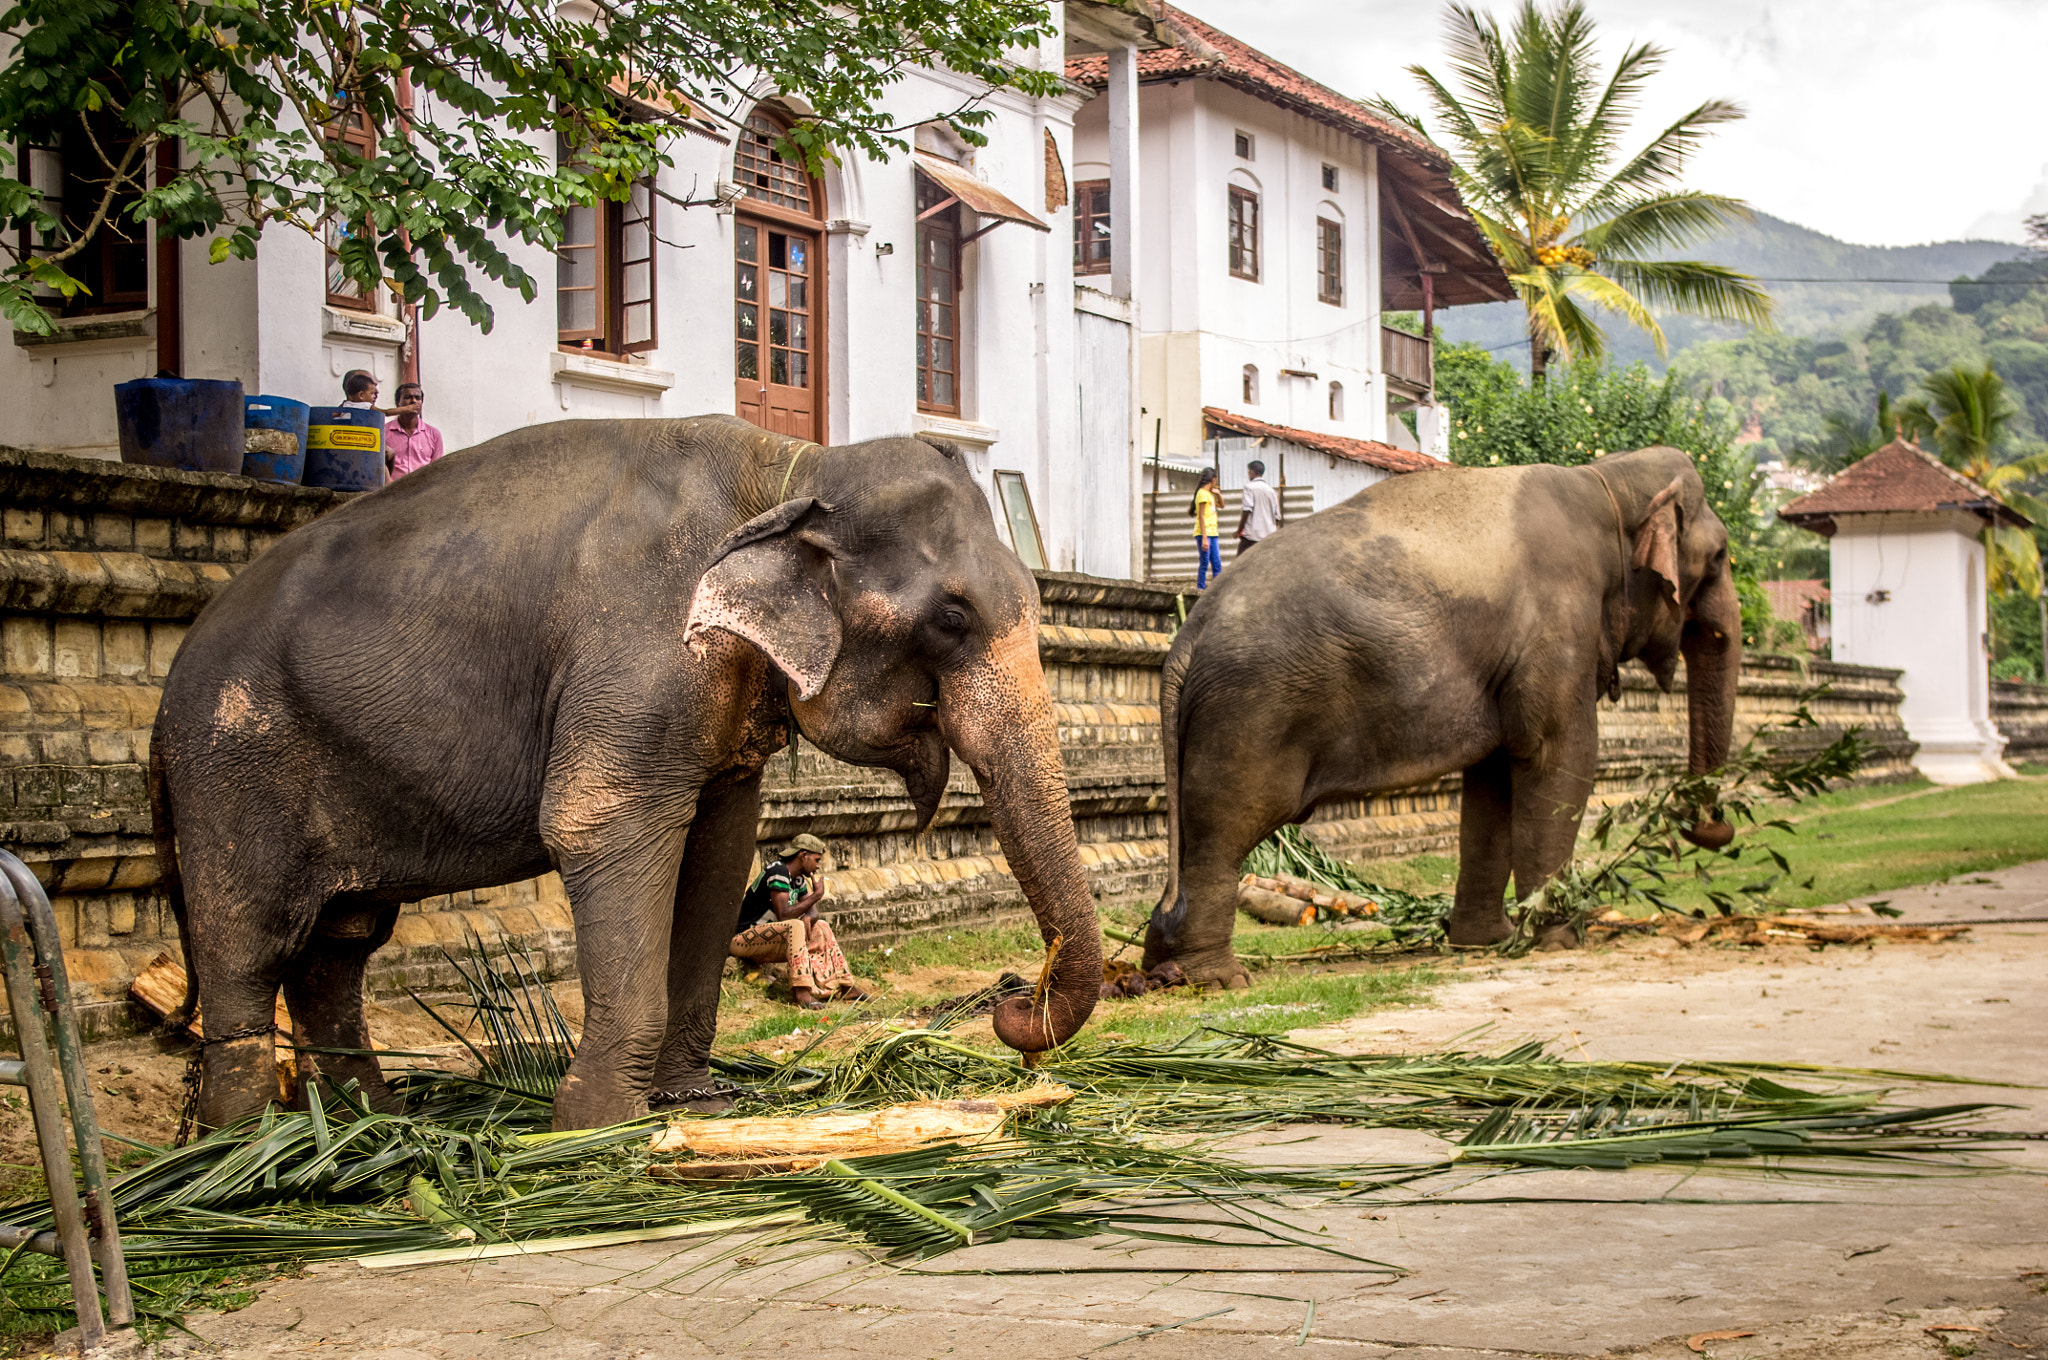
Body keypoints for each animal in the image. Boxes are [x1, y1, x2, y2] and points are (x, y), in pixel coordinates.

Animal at [155, 411, 1105, 1122]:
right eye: (952, 618)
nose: (1010, 1002)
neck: (789, 470)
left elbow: (720, 848)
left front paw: (692, 1101)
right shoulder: (637, 646)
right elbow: (601, 822)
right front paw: (592, 1126)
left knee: (339, 947)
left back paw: (369, 1126)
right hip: (233, 766)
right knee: (249, 944)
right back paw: (250, 1153)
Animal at [1146, 448, 1736, 987]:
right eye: (1720, 556)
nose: (1715, 829)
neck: (1606, 477)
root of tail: (1188, 635)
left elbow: (1492, 783)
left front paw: (1487, 942)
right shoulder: (1561, 626)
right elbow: (1559, 756)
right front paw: (1563, 940)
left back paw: (1164, 965)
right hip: (1250, 714)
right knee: (1224, 830)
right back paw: (1219, 978)